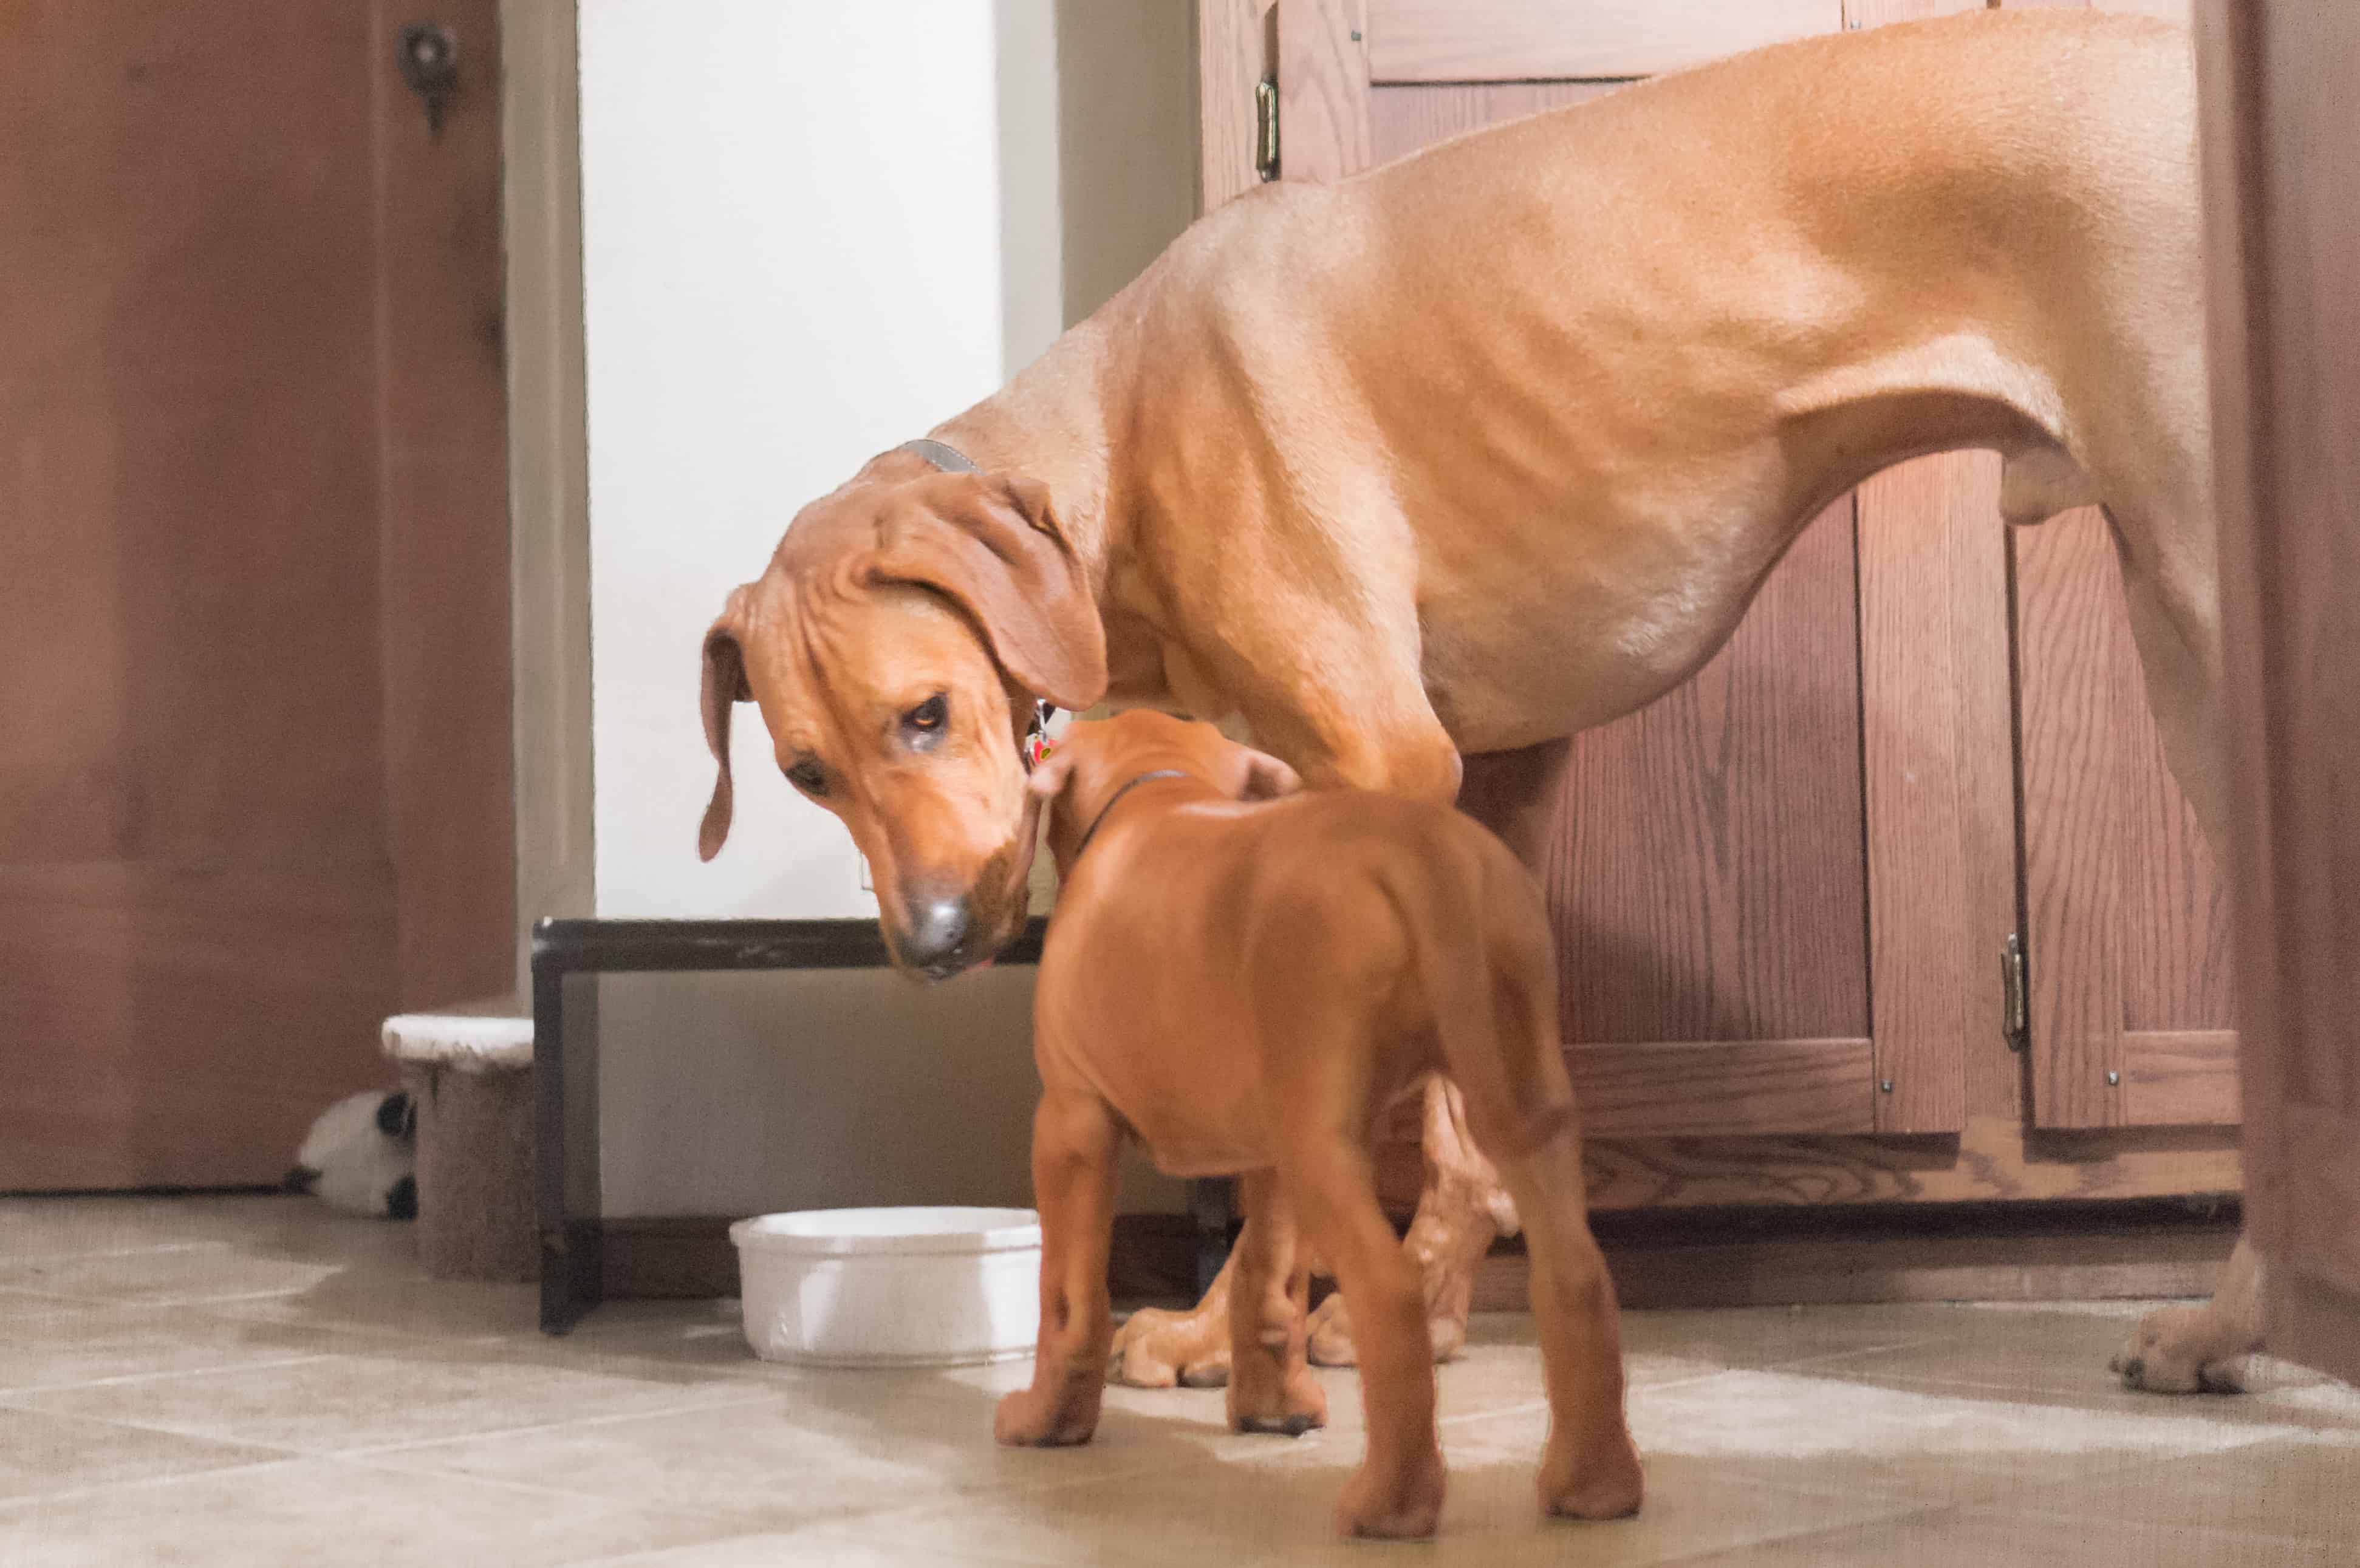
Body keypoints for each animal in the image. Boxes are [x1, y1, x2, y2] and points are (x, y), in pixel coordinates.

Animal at [698, 9, 2246, 1386]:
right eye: (803, 774)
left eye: (924, 712)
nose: (934, 944)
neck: (1122, 430)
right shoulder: (1488, 783)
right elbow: (1462, 1114)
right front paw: (1417, 1303)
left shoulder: (1379, 765)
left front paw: (1221, 1328)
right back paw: (2223, 1331)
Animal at [996, 712, 1642, 1537]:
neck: (1158, 790)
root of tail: (1423, 856)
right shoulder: (1268, 1151)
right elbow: (1265, 1282)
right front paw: (1274, 1409)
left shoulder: (1071, 1124)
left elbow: (1069, 1302)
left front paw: (1047, 1419)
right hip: (1519, 1099)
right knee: (1577, 1274)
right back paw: (1595, 1485)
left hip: (1326, 1153)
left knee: (1390, 1292)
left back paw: (1392, 1502)